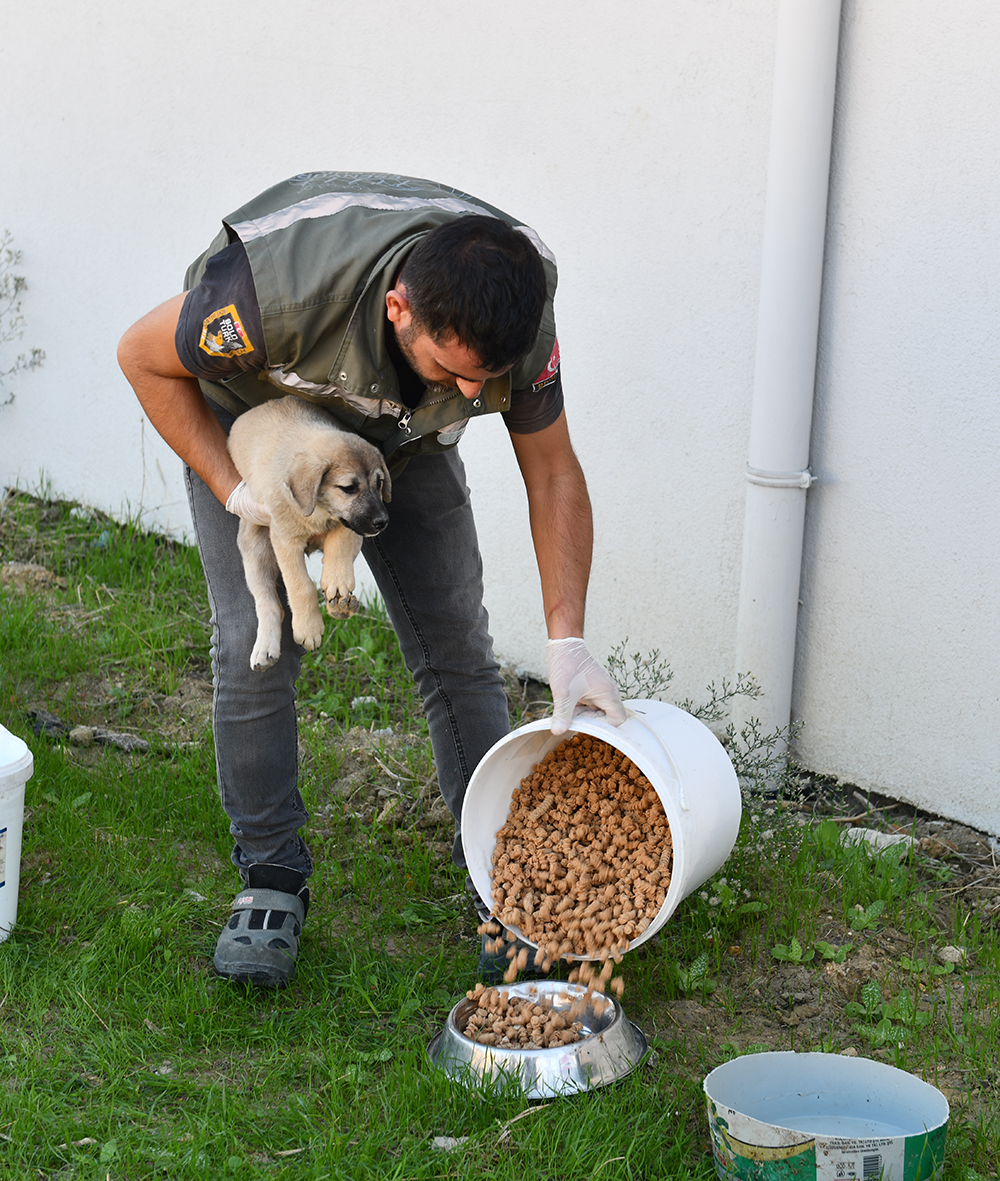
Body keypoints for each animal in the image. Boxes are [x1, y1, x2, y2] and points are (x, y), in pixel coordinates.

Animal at [229, 396, 391, 670]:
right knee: (269, 603)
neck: (319, 510)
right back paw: (265, 648)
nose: (383, 522)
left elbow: (341, 537)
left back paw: (341, 605)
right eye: (348, 488)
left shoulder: (352, 526)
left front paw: (337, 579)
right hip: (255, 550)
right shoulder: (285, 541)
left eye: (379, 483)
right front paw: (309, 628)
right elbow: (301, 585)